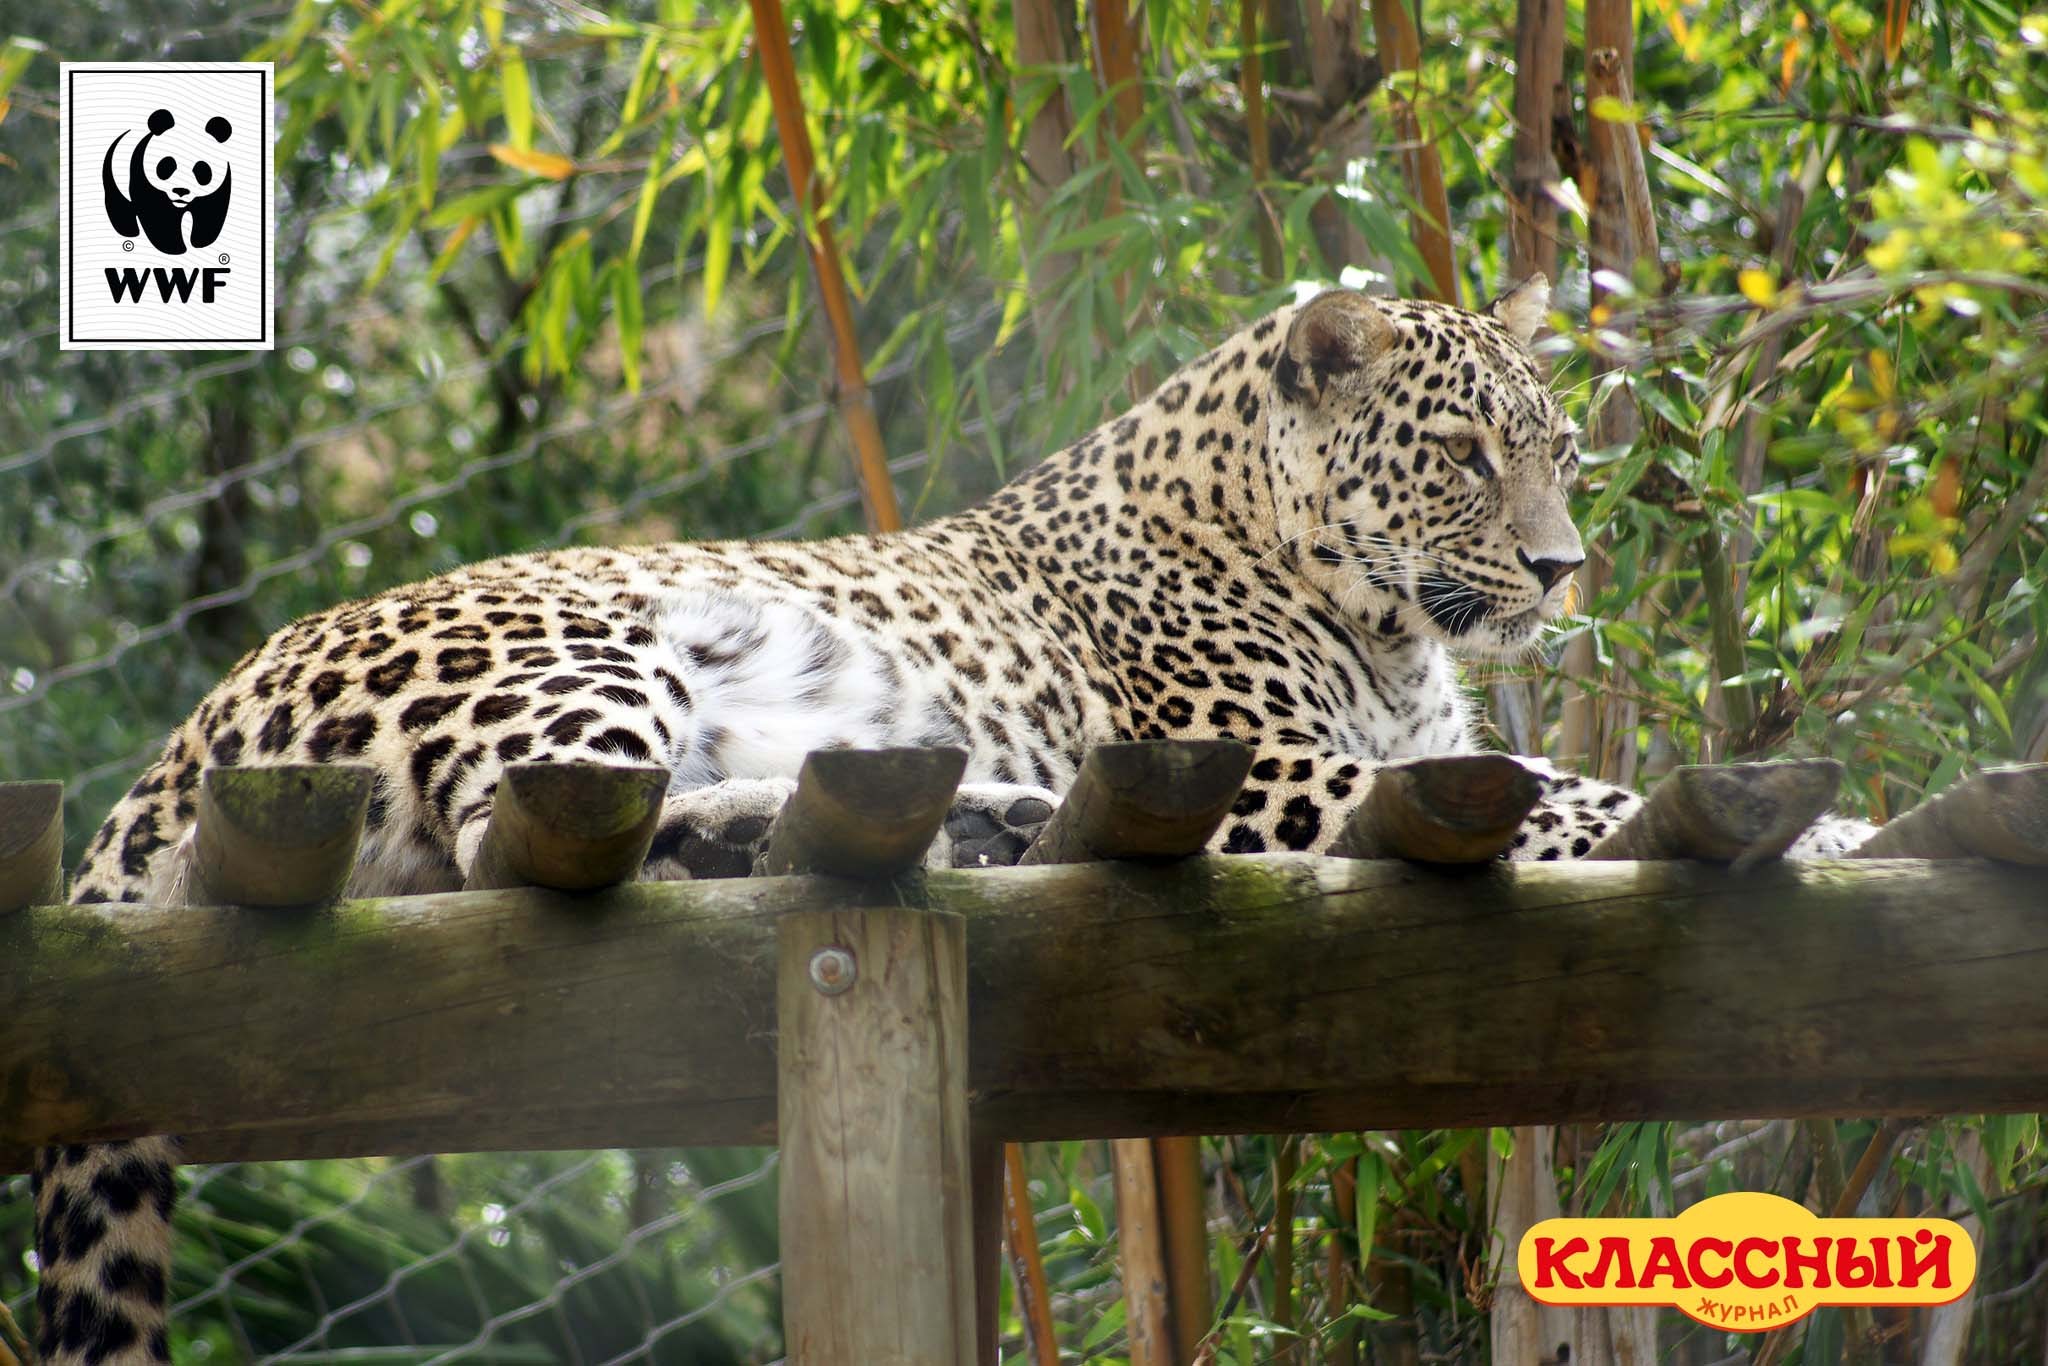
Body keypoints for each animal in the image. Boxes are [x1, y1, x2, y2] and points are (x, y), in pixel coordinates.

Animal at [28, 274, 1875, 1359]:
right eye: (1470, 455)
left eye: (1556, 449)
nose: (1565, 569)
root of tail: (196, 721)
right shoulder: (1271, 774)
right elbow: (1568, 795)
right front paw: (1841, 837)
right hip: (585, 653)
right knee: (527, 849)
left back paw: (983, 816)